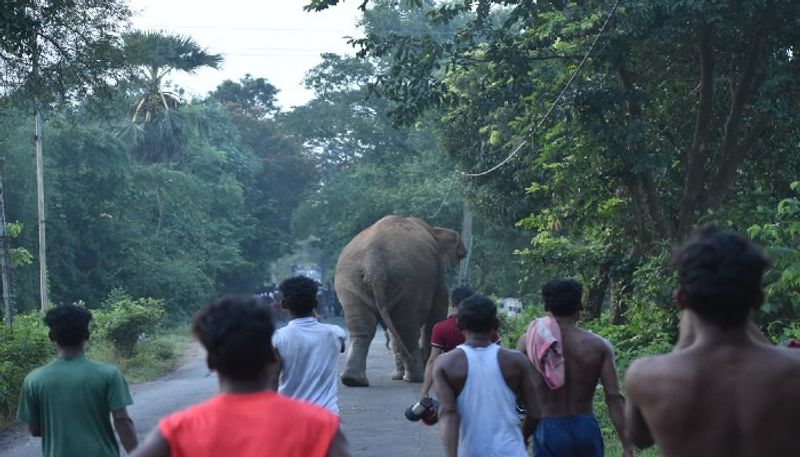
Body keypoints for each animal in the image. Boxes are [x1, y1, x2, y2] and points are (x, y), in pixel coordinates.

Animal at [332, 216, 468, 386]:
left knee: (363, 327)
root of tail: (373, 263)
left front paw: (397, 375)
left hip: (350, 279)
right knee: (406, 327)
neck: (433, 230)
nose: (464, 252)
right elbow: (437, 311)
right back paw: (415, 378)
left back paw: (353, 380)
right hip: (410, 281)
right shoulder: (437, 275)